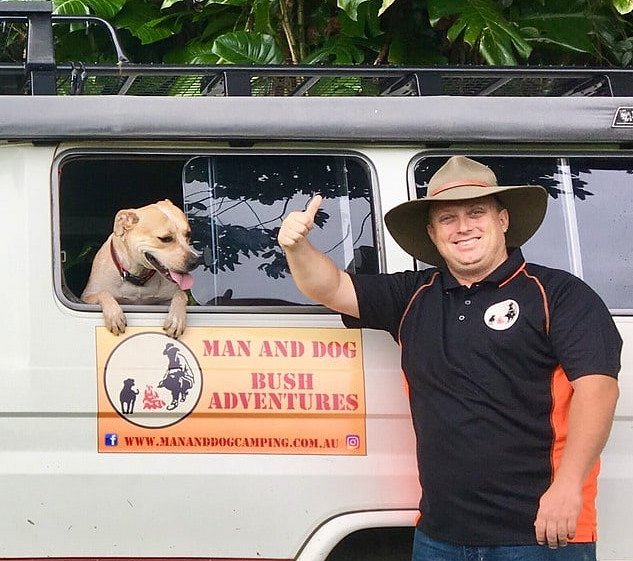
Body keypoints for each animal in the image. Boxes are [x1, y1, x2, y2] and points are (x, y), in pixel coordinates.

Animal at [81, 197, 200, 336]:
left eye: (188, 234)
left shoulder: (168, 297)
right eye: (165, 239)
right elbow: (103, 293)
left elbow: (180, 295)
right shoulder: (87, 296)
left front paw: (176, 318)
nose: (195, 261)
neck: (138, 275)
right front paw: (115, 315)